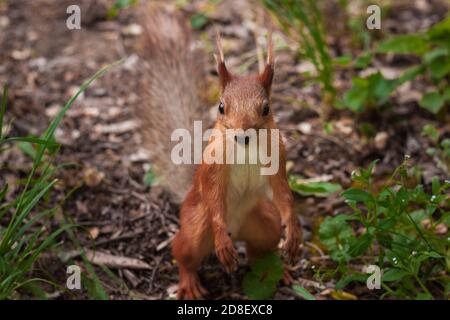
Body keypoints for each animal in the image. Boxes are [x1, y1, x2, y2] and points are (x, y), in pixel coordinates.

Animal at [135, 5, 300, 300]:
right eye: (221, 107)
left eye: (266, 108)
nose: (243, 134)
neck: (245, 150)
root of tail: (238, 229)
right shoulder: (213, 168)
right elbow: (214, 197)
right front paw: (221, 238)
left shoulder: (277, 160)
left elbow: (283, 194)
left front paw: (293, 233)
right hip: (196, 227)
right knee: (184, 253)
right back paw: (191, 281)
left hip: (265, 223)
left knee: (260, 251)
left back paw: (278, 272)